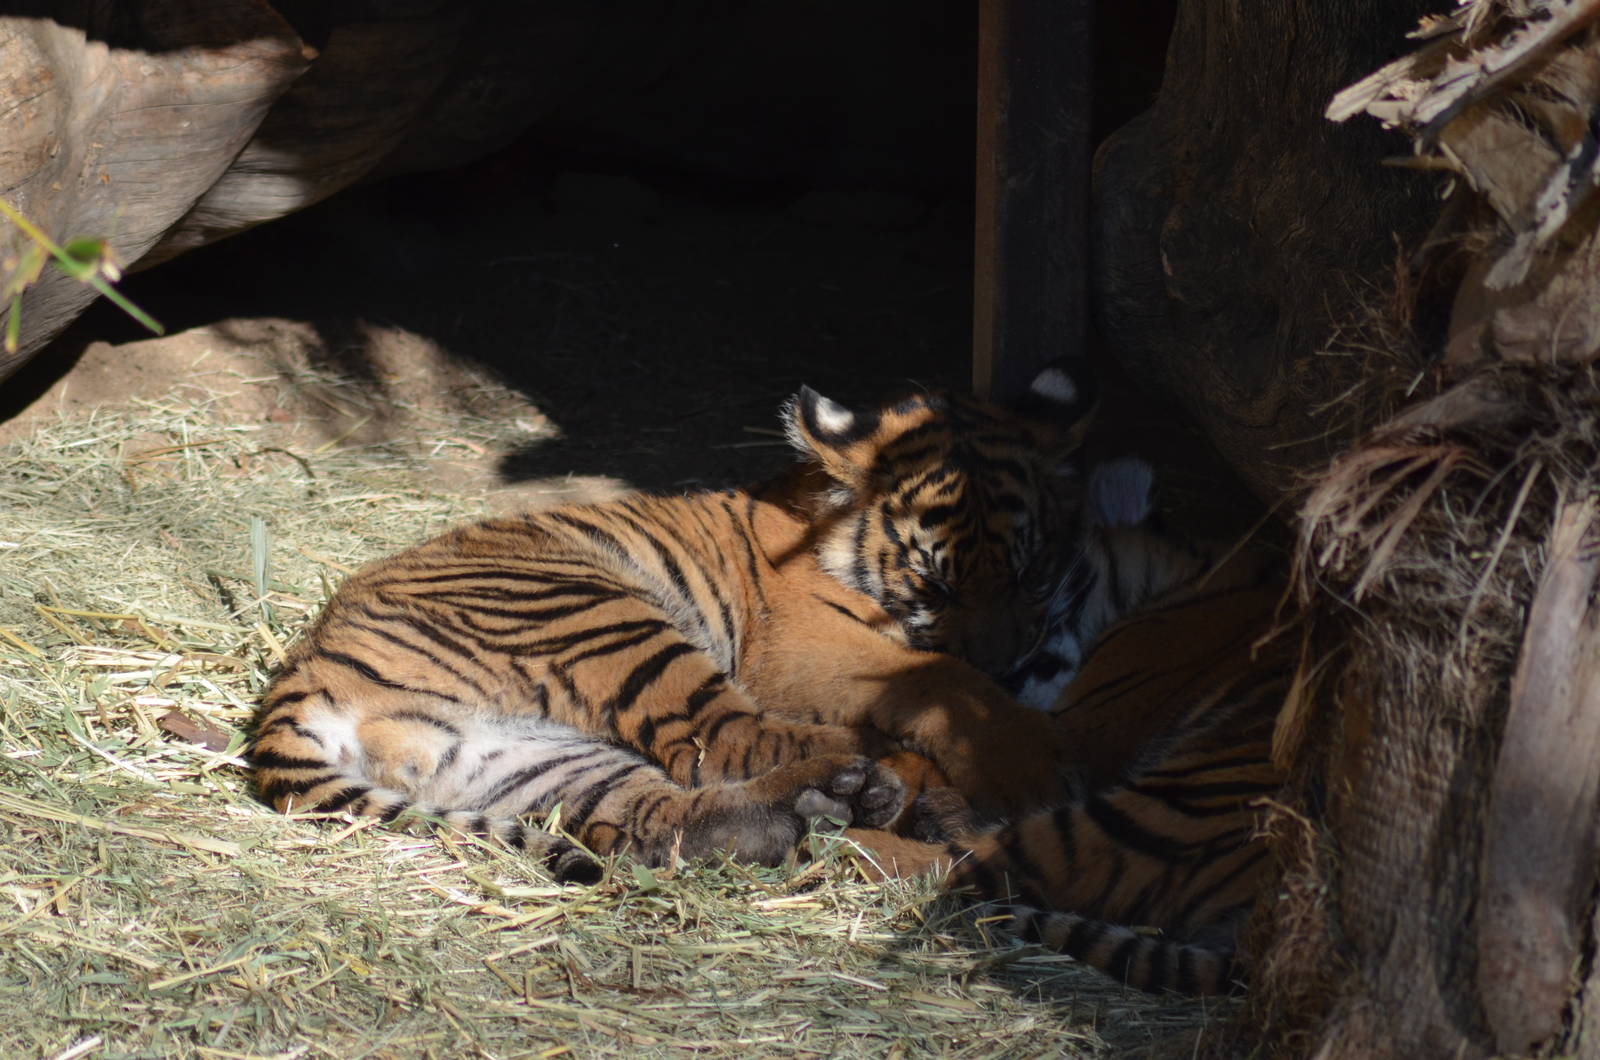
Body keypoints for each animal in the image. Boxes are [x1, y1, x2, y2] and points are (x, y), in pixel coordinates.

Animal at [249, 364, 1103, 880]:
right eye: (934, 581)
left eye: (1031, 574)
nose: (1005, 661)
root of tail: (304, 672)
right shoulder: (802, 643)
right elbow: (938, 678)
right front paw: (1030, 763)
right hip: (603, 616)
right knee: (724, 739)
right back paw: (881, 785)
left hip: (518, 758)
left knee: (655, 816)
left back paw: (803, 813)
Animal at [853, 548, 1289, 995]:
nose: (998, 665)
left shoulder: (1081, 733)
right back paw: (937, 814)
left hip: (1177, 806)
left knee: (973, 866)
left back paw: (851, 842)